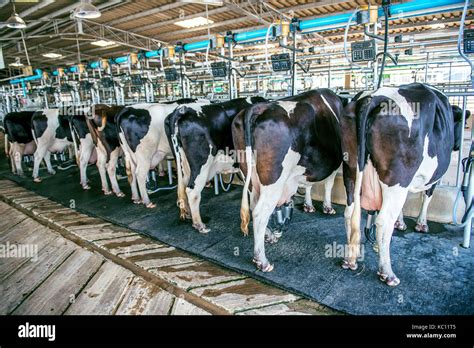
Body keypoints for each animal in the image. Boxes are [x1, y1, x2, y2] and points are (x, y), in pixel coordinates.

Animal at [163, 96, 266, 234]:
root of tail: (183, 109)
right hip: (201, 165)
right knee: (192, 191)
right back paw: (199, 224)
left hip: (183, 163)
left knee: (184, 186)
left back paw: (189, 214)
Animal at [231, 89, 342, 272]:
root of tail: (260, 107)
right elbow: (328, 185)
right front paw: (327, 207)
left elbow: (308, 185)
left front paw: (308, 205)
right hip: (274, 180)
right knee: (260, 212)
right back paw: (262, 260)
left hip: (251, 176)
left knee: (254, 205)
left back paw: (269, 236)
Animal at [340, 83, 466, 286]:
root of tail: (374, 97)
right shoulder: (432, 178)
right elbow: (427, 197)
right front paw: (421, 224)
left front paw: (400, 223)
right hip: (398, 178)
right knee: (383, 221)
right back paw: (387, 273)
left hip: (350, 169)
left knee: (350, 212)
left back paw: (351, 259)